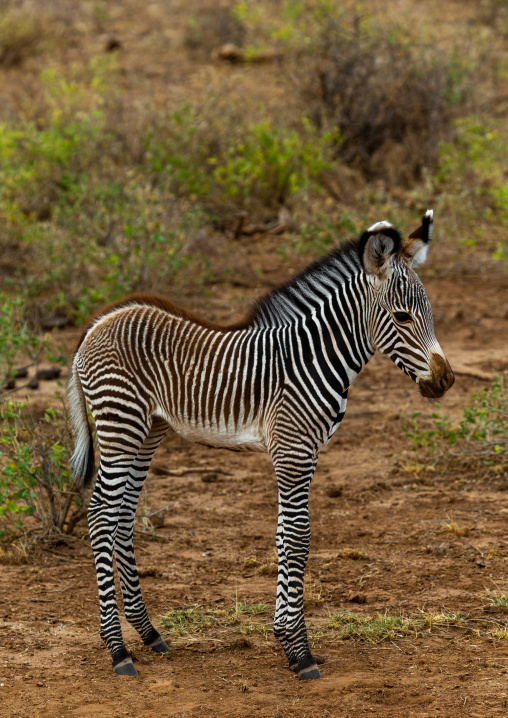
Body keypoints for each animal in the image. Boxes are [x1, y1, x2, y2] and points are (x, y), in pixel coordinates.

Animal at [69, 210, 454, 680]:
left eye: (429, 313)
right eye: (401, 317)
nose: (445, 380)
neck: (313, 358)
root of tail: (97, 323)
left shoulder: (305, 452)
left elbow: (286, 536)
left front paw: (286, 639)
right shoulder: (293, 451)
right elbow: (298, 538)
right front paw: (300, 651)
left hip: (147, 430)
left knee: (122, 517)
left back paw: (149, 633)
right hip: (119, 423)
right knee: (100, 516)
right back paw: (117, 650)